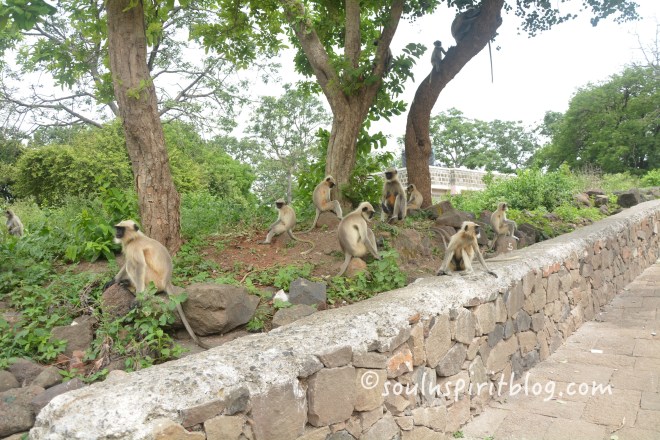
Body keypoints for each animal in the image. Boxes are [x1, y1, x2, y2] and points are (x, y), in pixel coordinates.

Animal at [103, 220, 209, 349]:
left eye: (121, 229)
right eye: (117, 228)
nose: (117, 233)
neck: (135, 237)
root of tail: (167, 281)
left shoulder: (134, 247)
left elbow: (140, 265)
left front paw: (139, 298)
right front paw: (113, 280)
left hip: (154, 280)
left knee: (132, 264)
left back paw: (137, 290)